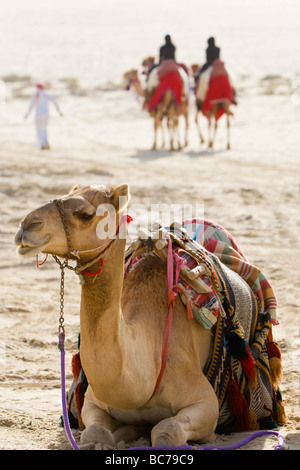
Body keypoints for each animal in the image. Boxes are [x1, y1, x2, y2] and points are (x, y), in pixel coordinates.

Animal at [14, 184, 286, 448]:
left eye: (86, 214)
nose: (26, 226)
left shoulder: (206, 405)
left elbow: (165, 431)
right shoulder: (93, 403)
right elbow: (94, 434)